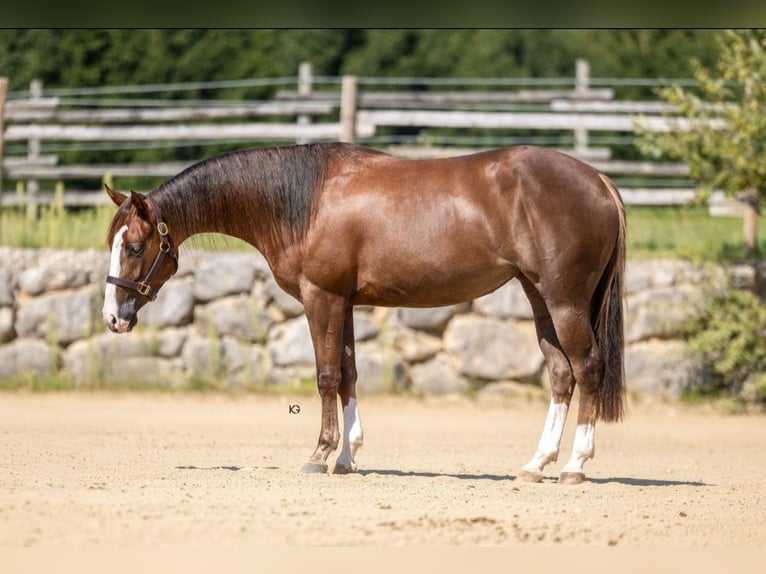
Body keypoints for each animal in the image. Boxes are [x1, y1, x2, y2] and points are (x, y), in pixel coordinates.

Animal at [102, 142, 626, 484]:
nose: (113, 317)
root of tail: (599, 181)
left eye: (134, 246)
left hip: (564, 301)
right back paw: (537, 465)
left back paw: (575, 466)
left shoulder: (322, 298)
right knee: (561, 374)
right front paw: (347, 458)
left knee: (587, 368)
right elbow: (349, 375)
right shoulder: (346, 303)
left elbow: (326, 376)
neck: (304, 202)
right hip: (540, 299)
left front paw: (319, 454)